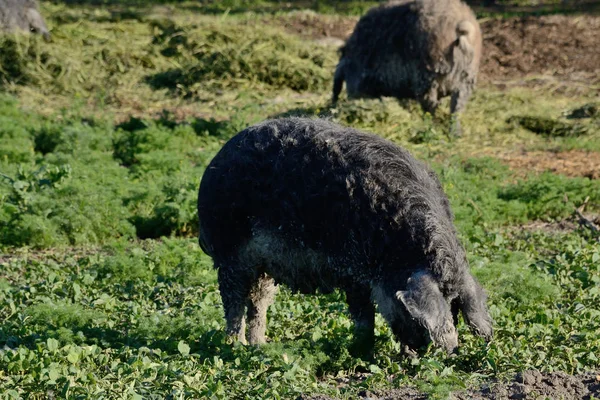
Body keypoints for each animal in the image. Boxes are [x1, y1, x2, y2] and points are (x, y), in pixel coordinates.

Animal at [198, 117, 492, 354]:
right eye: (409, 312)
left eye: (455, 308)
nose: (416, 352)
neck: (396, 248)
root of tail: (215, 163)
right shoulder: (353, 270)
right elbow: (363, 317)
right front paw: (361, 349)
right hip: (230, 252)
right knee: (233, 301)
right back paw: (234, 347)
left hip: (264, 267)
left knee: (258, 301)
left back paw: (260, 345)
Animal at [332, 0, 482, 136]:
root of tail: (460, 27)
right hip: (466, 80)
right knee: (456, 109)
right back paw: (455, 134)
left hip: (428, 77)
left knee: (431, 106)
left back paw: (429, 126)